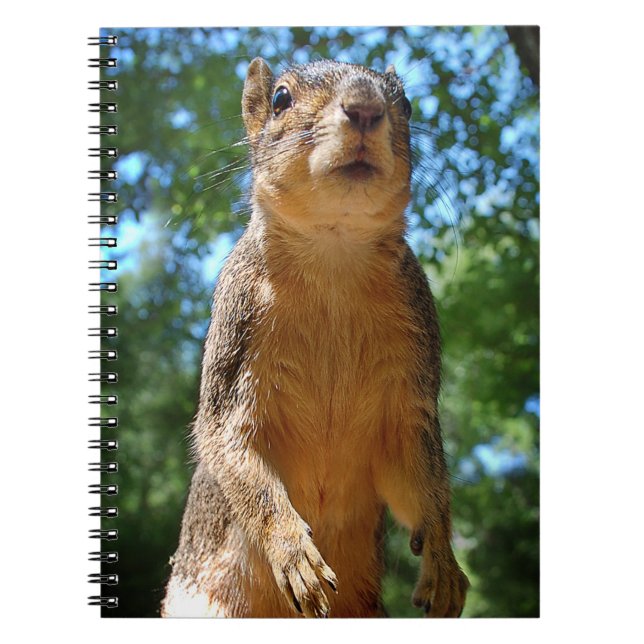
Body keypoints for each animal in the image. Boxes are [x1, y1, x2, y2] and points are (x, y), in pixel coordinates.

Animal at [161, 58, 469, 618]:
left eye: (408, 104)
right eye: (280, 99)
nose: (365, 107)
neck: (333, 252)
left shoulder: (410, 381)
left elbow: (420, 475)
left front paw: (442, 559)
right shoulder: (236, 340)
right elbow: (231, 448)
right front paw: (293, 552)